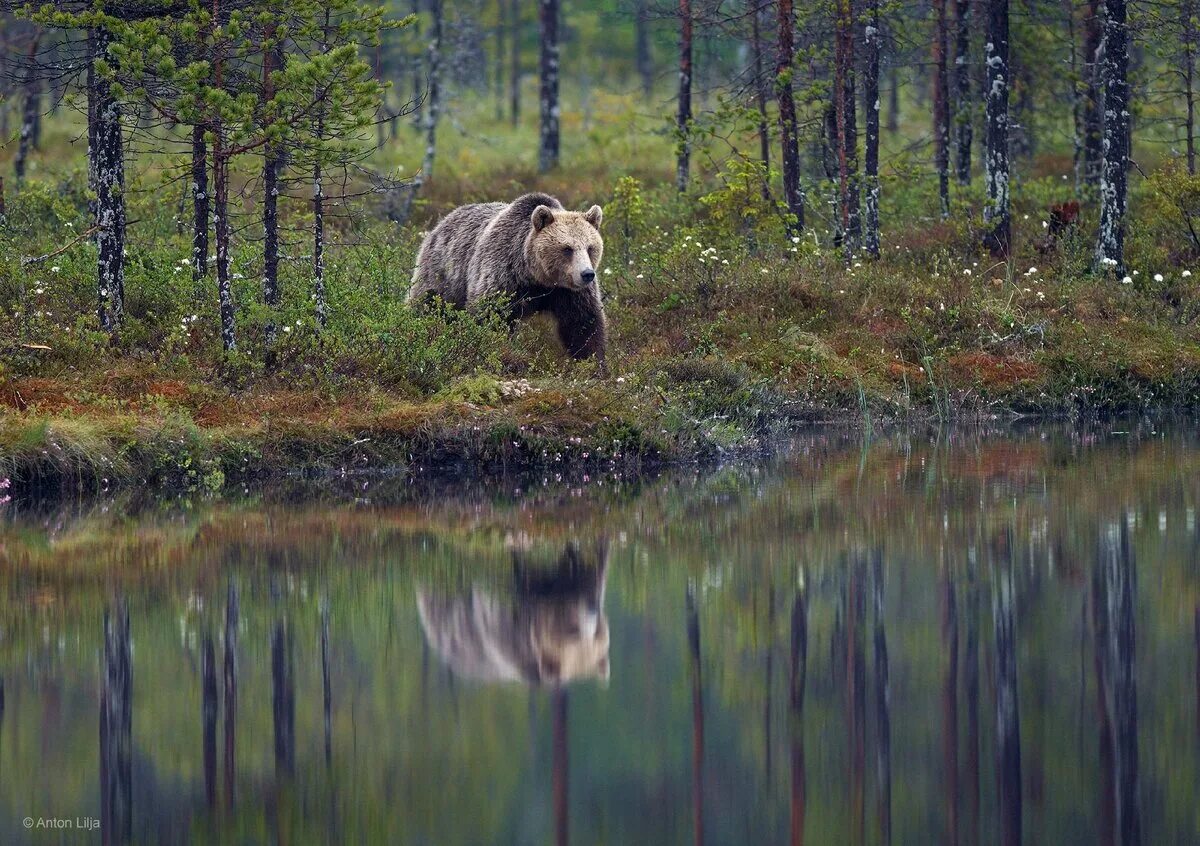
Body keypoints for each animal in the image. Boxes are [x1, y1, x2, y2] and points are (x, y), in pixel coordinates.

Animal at [408, 192, 609, 362]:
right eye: (567, 248)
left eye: (590, 247)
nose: (587, 274)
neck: (536, 277)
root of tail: (442, 221)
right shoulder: (504, 275)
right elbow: (491, 316)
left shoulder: (568, 292)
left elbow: (583, 324)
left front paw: (593, 363)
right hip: (442, 274)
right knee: (426, 303)